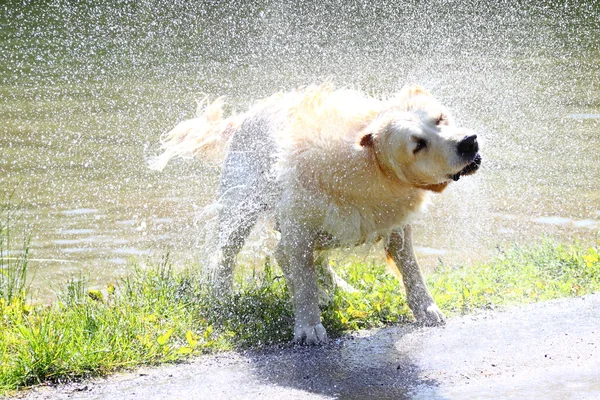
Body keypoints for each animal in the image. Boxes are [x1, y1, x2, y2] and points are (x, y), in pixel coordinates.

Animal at [152, 83, 480, 344]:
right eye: (418, 144)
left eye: (440, 119)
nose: (469, 142)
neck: (370, 166)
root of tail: (244, 116)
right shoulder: (298, 226)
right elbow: (303, 280)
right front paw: (308, 326)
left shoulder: (394, 221)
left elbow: (410, 266)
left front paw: (426, 308)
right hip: (242, 207)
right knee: (229, 254)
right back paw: (222, 296)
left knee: (294, 254)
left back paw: (339, 289)